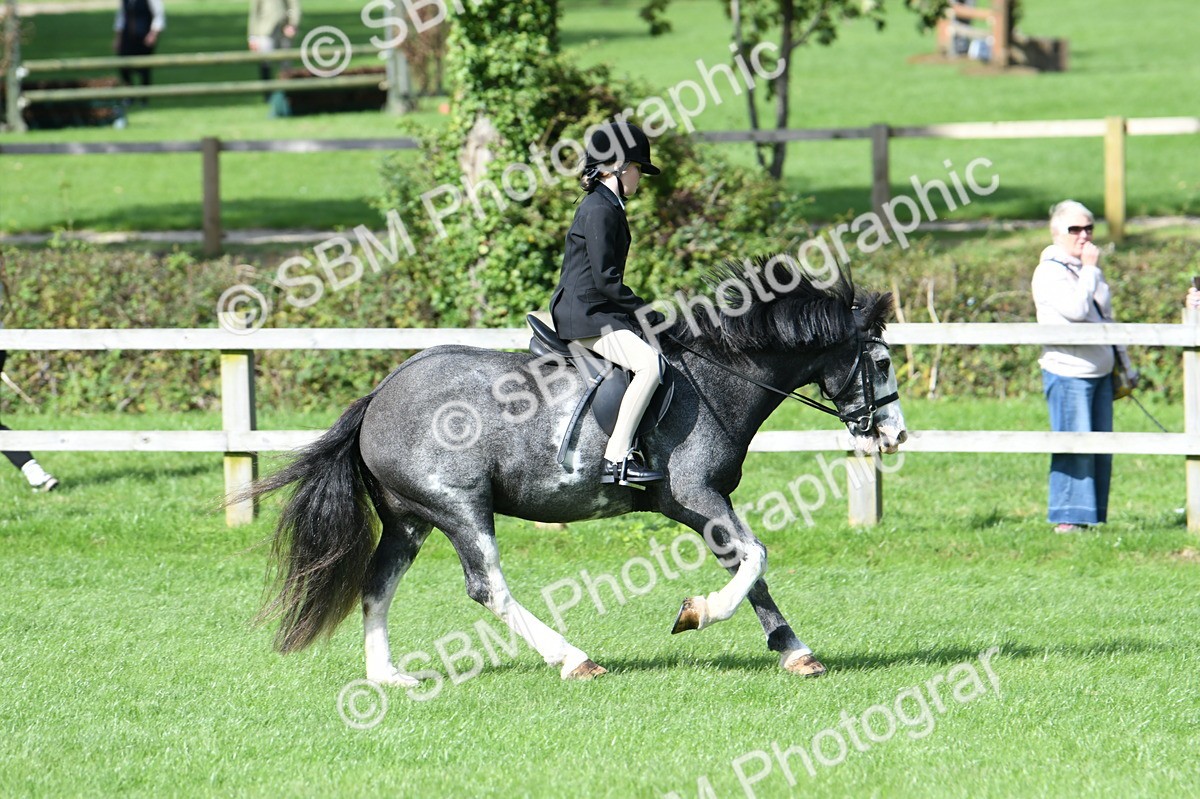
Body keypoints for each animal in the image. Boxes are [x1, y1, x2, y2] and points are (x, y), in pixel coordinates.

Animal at [246, 258, 907, 684]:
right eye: (880, 362)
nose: (895, 435)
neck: (720, 376)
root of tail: (378, 398)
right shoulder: (696, 496)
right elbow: (756, 558)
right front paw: (697, 613)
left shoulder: (703, 504)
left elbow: (751, 569)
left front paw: (795, 653)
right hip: (459, 507)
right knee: (488, 588)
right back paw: (573, 660)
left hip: (411, 518)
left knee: (377, 585)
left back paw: (387, 678)